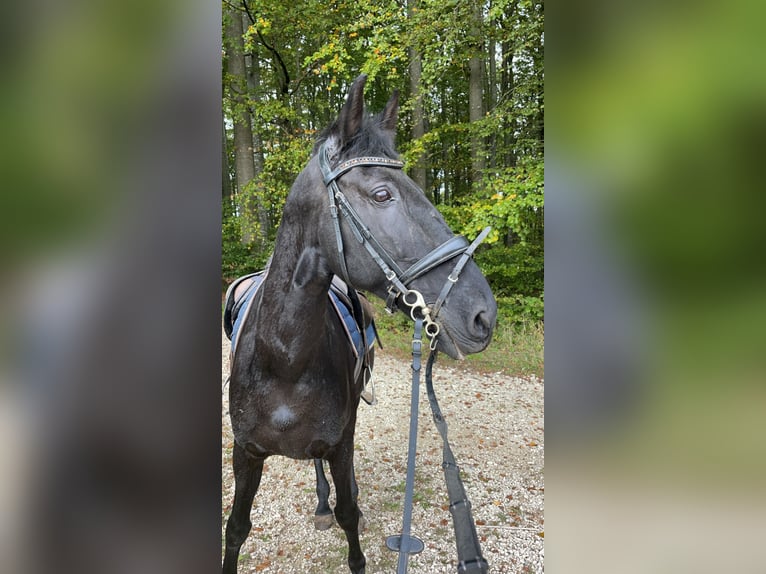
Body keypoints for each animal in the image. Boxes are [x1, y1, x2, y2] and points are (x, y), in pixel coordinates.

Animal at [222, 76, 498, 574]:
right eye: (382, 194)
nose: (483, 313)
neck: (283, 360)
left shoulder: (340, 442)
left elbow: (350, 513)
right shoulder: (245, 453)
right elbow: (236, 528)